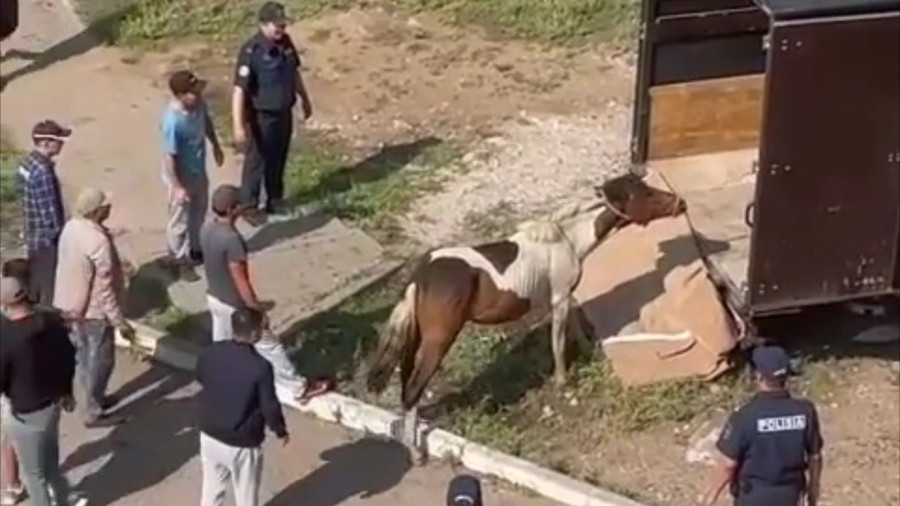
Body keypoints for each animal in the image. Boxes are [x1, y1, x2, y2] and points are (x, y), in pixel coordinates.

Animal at [366, 172, 684, 452]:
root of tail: (421, 275)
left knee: (406, 380)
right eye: (647, 193)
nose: (681, 203)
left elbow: (575, 328)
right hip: (438, 339)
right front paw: (563, 383)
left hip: (416, 336)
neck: (568, 239)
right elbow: (558, 342)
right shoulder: (559, 300)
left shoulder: (564, 297)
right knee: (414, 387)